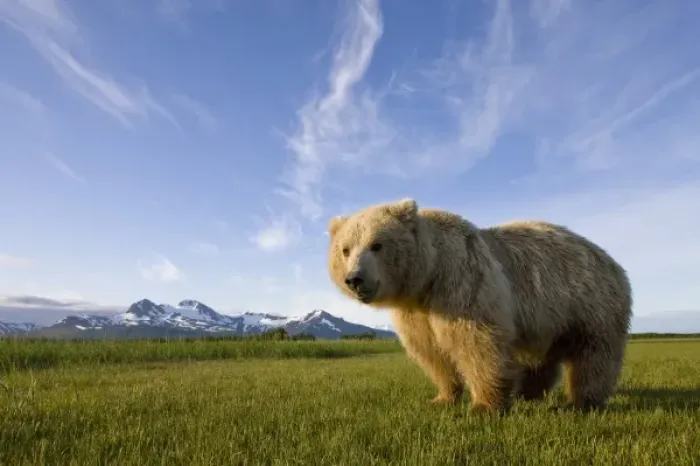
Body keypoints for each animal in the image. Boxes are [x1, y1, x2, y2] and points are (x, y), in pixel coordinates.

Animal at [327, 198, 632, 414]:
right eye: (345, 249)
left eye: (376, 245)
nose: (355, 279)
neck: (428, 275)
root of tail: (613, 263)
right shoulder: (416, 310)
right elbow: (430, 350)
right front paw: (442, 396)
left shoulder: (461, 282)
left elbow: (475, 341)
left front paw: (484, 405)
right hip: (550, 319)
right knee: (542, 357)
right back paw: (529, 390)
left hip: (589, 303)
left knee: (594, 355)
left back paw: (580, 401)